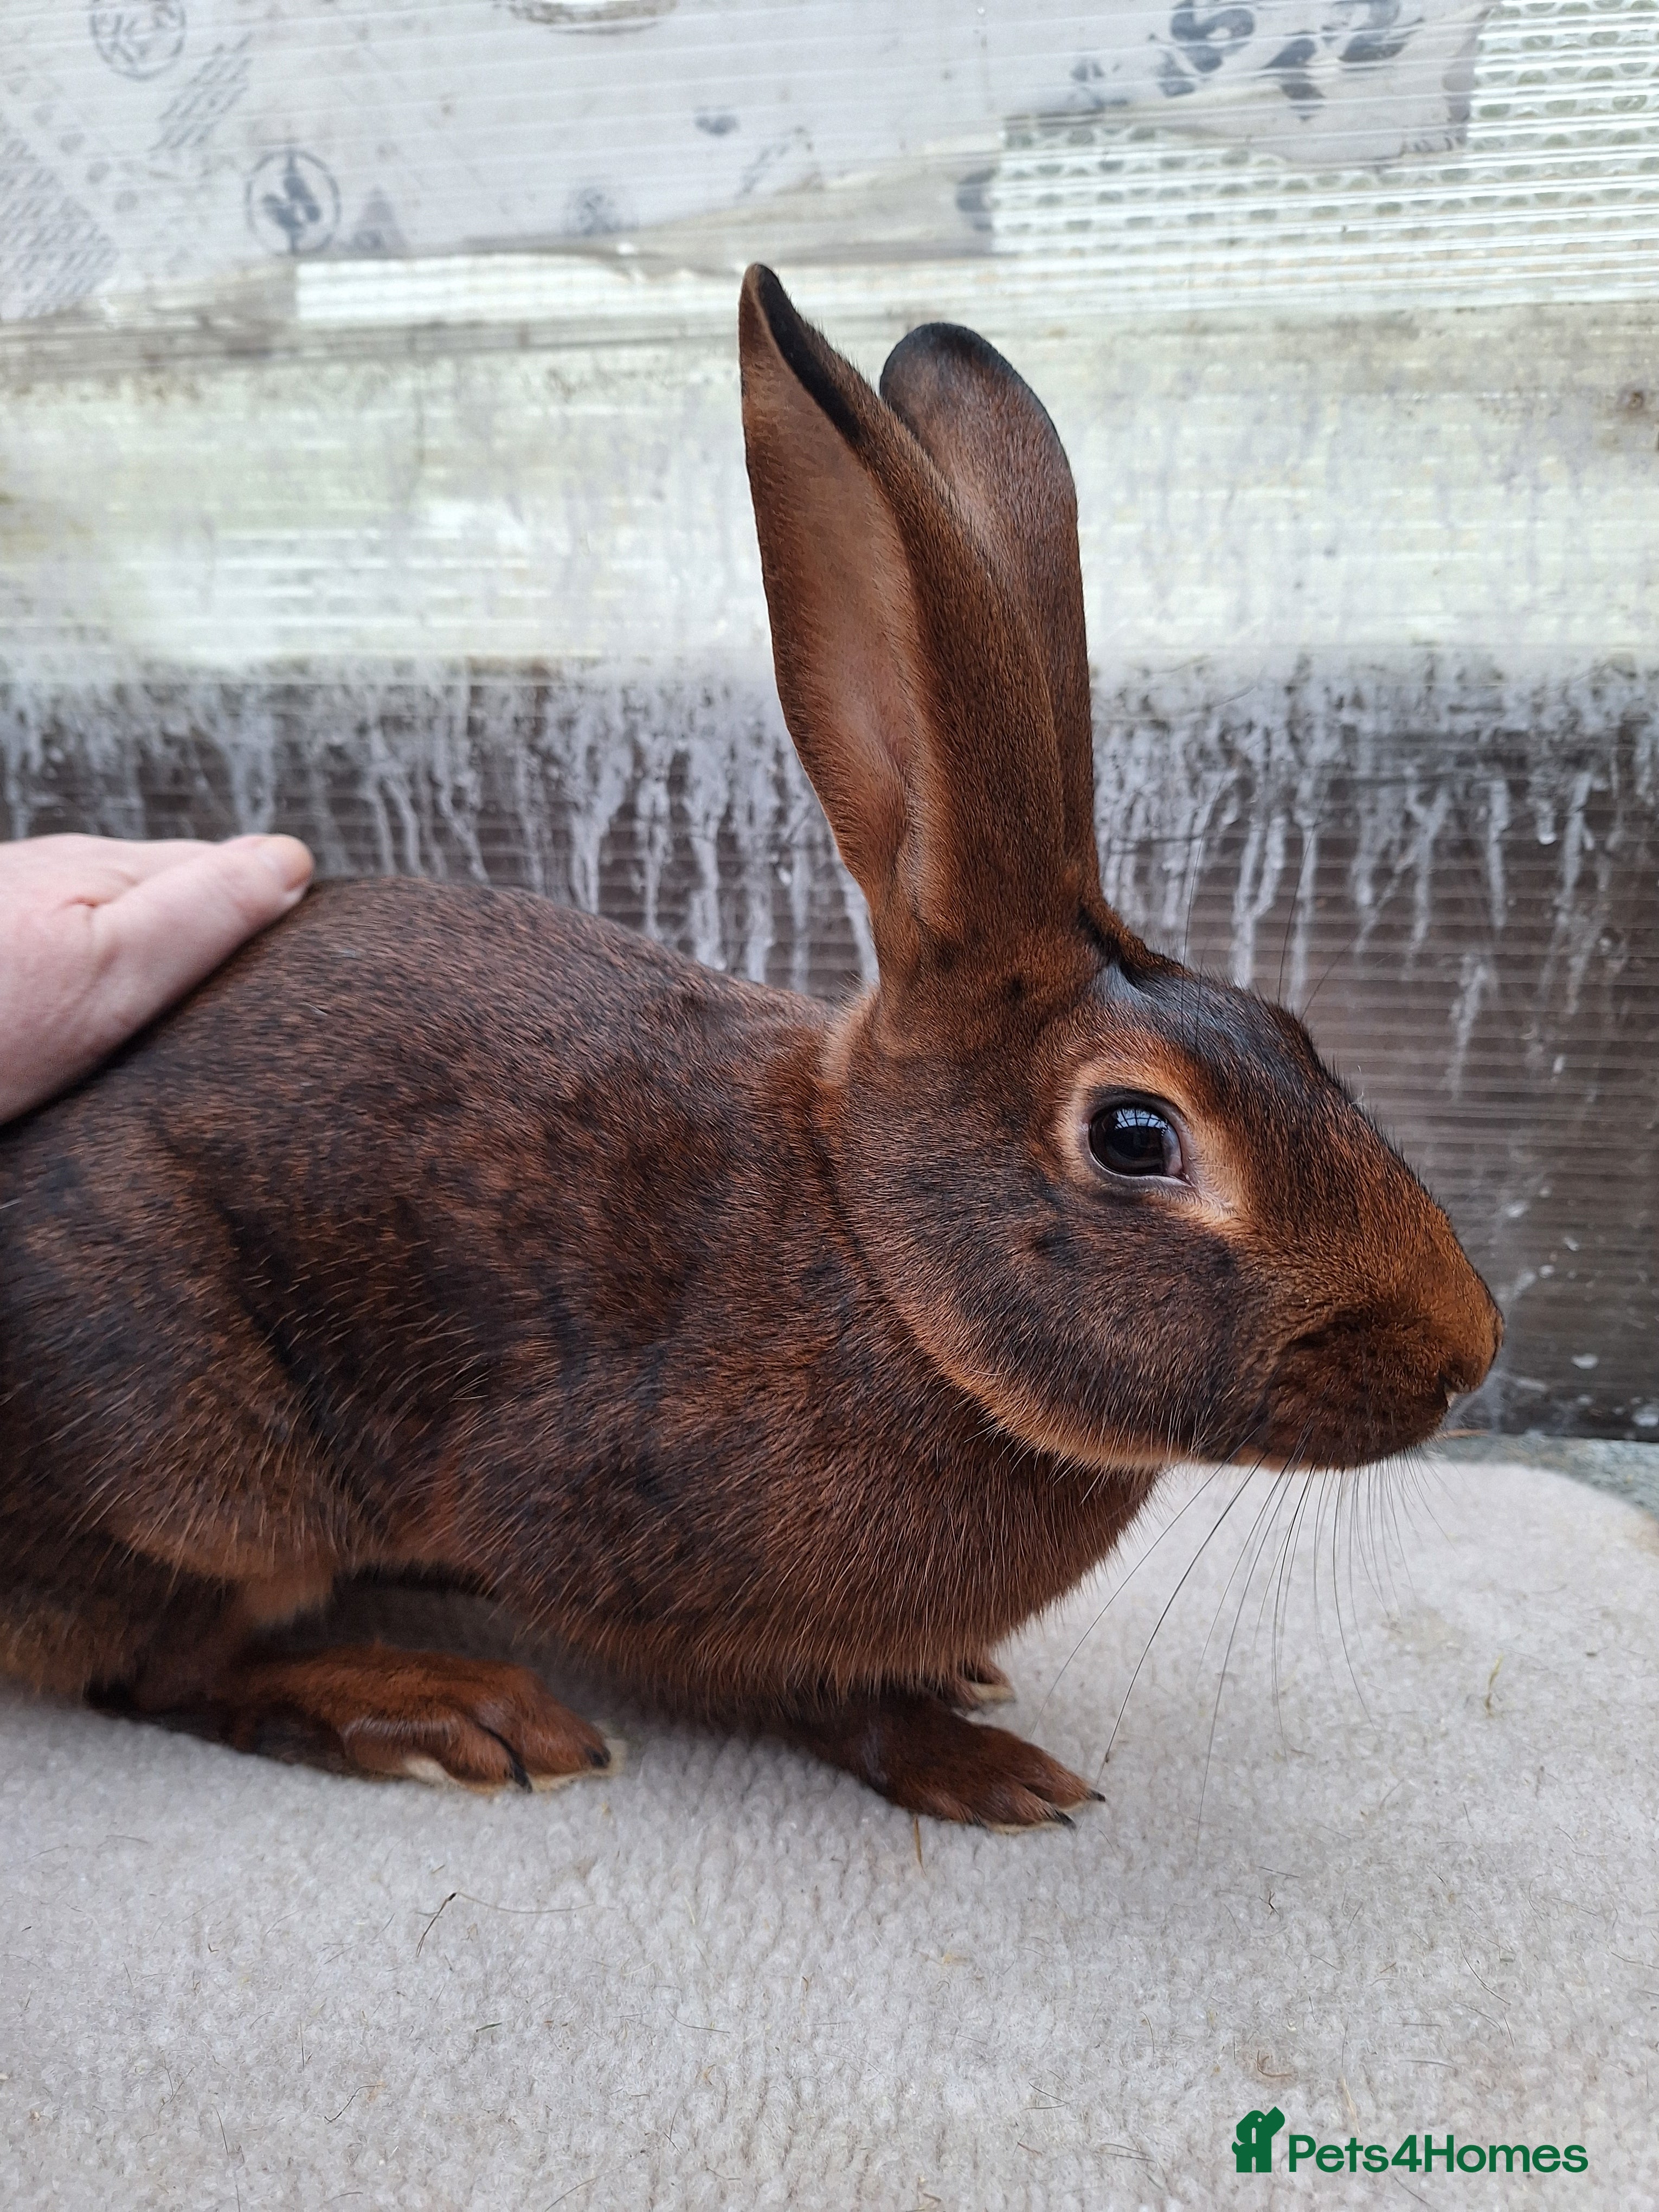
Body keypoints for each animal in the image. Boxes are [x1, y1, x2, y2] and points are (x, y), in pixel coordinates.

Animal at [0, 267, 1500, 1829]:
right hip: (192, 1458)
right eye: (1135, 1137)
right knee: (170, 1669)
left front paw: (968, 1686)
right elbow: (814, 1696)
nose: (1468, 1353)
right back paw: (450, 1709)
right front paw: (983, 1767)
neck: (877, 1260)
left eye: (1294, 1034)